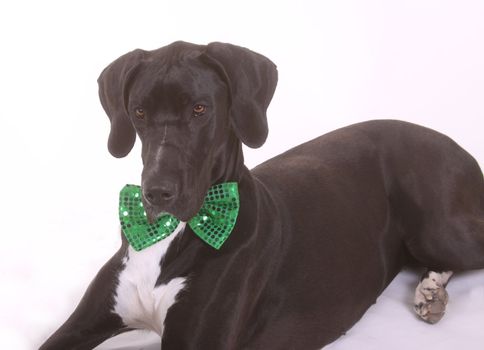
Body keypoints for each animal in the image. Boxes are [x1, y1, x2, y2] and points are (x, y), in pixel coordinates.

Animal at [41, 41, 484, 350]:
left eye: (200, 109)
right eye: (139, 112)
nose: (156, 193)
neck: (176, 232)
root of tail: (451, 140)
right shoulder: (79, 325)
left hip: (439, 227)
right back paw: (430, 291)